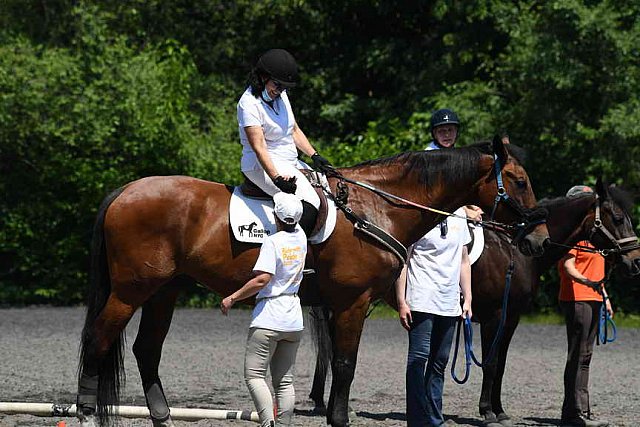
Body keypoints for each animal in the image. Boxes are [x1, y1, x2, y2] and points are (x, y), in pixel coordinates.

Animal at [74, 136, 544, 427]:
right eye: (520, 181)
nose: (537, 239)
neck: (375, 209)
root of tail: (124, 191)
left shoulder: (340, 306)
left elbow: (336, 363)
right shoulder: (352, 303)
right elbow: (345, 364)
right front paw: (338, 418)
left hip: (163, 292)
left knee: (146, 350)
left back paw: (162, 415)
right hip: (131, 291)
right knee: (98, 339)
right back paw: (85, 412)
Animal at [306, 178, 640, 427]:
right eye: (618, 218)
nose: (635, 261)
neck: (511, 251)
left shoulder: (511, 317)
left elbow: (501, 364)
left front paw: (500, 410)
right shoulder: (494, 316)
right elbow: (490, 363)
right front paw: (488, 412)